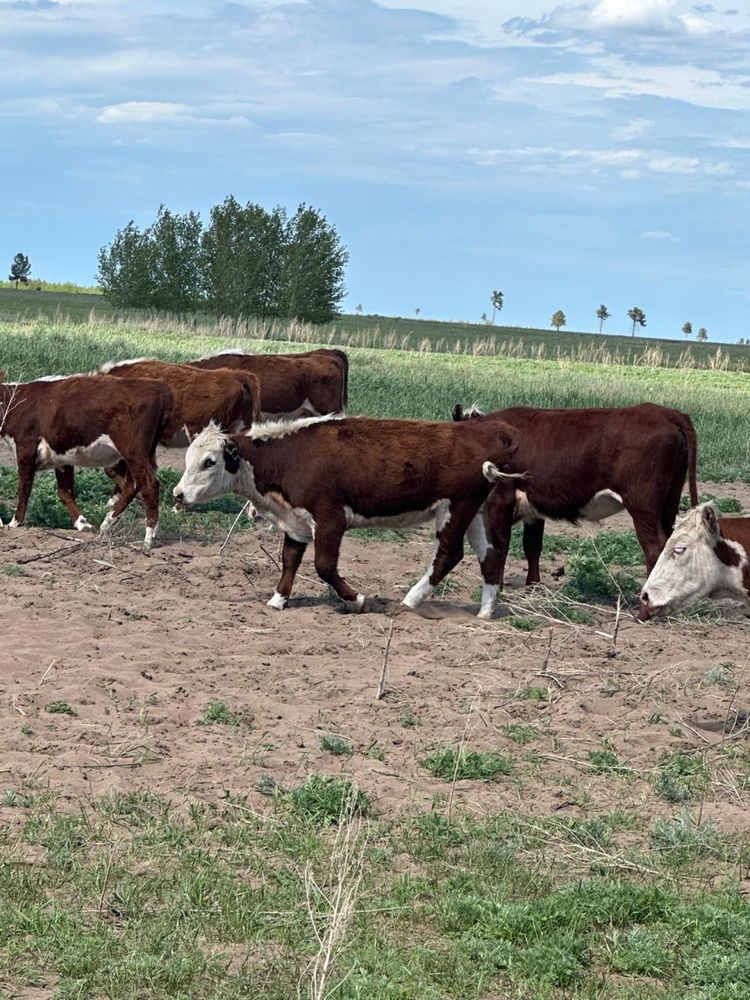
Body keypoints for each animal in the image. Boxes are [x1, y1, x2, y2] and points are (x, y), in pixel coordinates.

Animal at [0, 370, 177, 544]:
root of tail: (158, 387)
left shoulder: (25, 449)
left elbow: (24, 489)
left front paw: (15, 522)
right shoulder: (62, 457)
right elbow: (65, 492)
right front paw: (82, 524)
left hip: (134, 451)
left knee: (149, 485)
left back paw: (148, 537)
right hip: (143, 453)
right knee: (133, 485)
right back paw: (110, 523)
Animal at [173, 414, 520, 616]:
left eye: (209, 461)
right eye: (188, 458)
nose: (178, 494)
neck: (291, 455)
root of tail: (484, 431)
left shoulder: (330, 519)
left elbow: (324, 566)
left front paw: (356, 600)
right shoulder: (296, 522)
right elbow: (289, 560)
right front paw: (278, 599)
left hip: (455, 510)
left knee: (450, 553)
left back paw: (411, 599)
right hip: (475, 512)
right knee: (490, 554)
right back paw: (485, 612)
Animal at [452, 398, 700, 584]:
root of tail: (665, 413)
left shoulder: (500, 501)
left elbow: (500, 547)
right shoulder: (534, 507)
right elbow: (532, 546)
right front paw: (533, 585)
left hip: (642, 505)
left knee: (654, 548)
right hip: (669, 501)